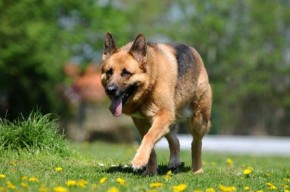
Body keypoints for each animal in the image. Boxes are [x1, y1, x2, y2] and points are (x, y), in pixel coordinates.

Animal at [101, 33, 212, 176]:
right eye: (109, 72)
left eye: (126, 73)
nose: (110, 90)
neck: (152, 81)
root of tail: (194, 51)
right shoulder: (142, 122)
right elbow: (150, 146)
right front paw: (150, 171)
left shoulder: (163, 116)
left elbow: (149, 137)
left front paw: (139, 160)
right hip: (169, 120)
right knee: (175, 140)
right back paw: (174, 161)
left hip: (198, 121)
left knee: (196, 144)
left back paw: (197, 170)